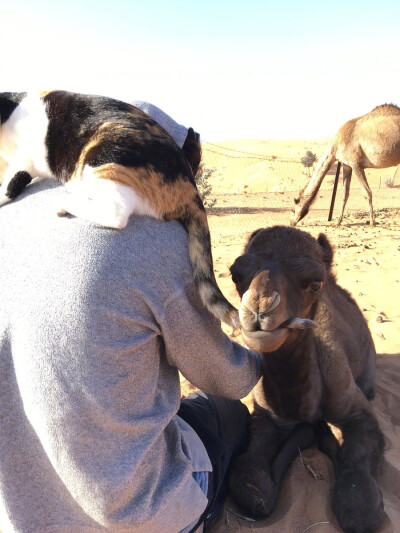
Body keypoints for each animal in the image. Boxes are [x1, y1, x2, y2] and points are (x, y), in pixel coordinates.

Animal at [0, 90, 238, 328]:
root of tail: (190, 186)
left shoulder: (23, 161)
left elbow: (10, 184)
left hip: (106, 152)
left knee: (117, 212)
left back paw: (65, 202)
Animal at [230, 225, 386, 532]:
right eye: (236, 274)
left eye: (315, 282)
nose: (259, 310)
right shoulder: (266, 417)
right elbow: (251, 485)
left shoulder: (356, 408)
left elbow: (360, 507)